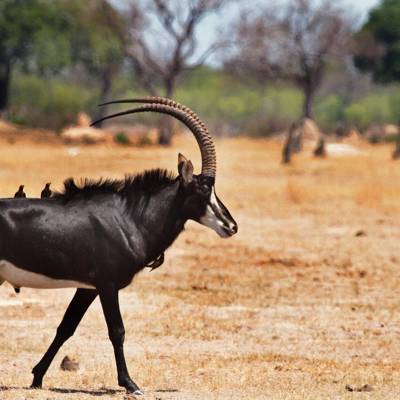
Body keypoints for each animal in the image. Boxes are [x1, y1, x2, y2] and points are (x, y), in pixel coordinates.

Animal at [0, 97, 238, 395]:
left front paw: (37, 377)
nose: (231, 226)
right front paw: (130, 383)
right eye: (205, 189)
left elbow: (66, 327)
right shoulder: (107, 284)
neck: (128, 216)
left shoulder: (88, 287)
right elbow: (117, 330)